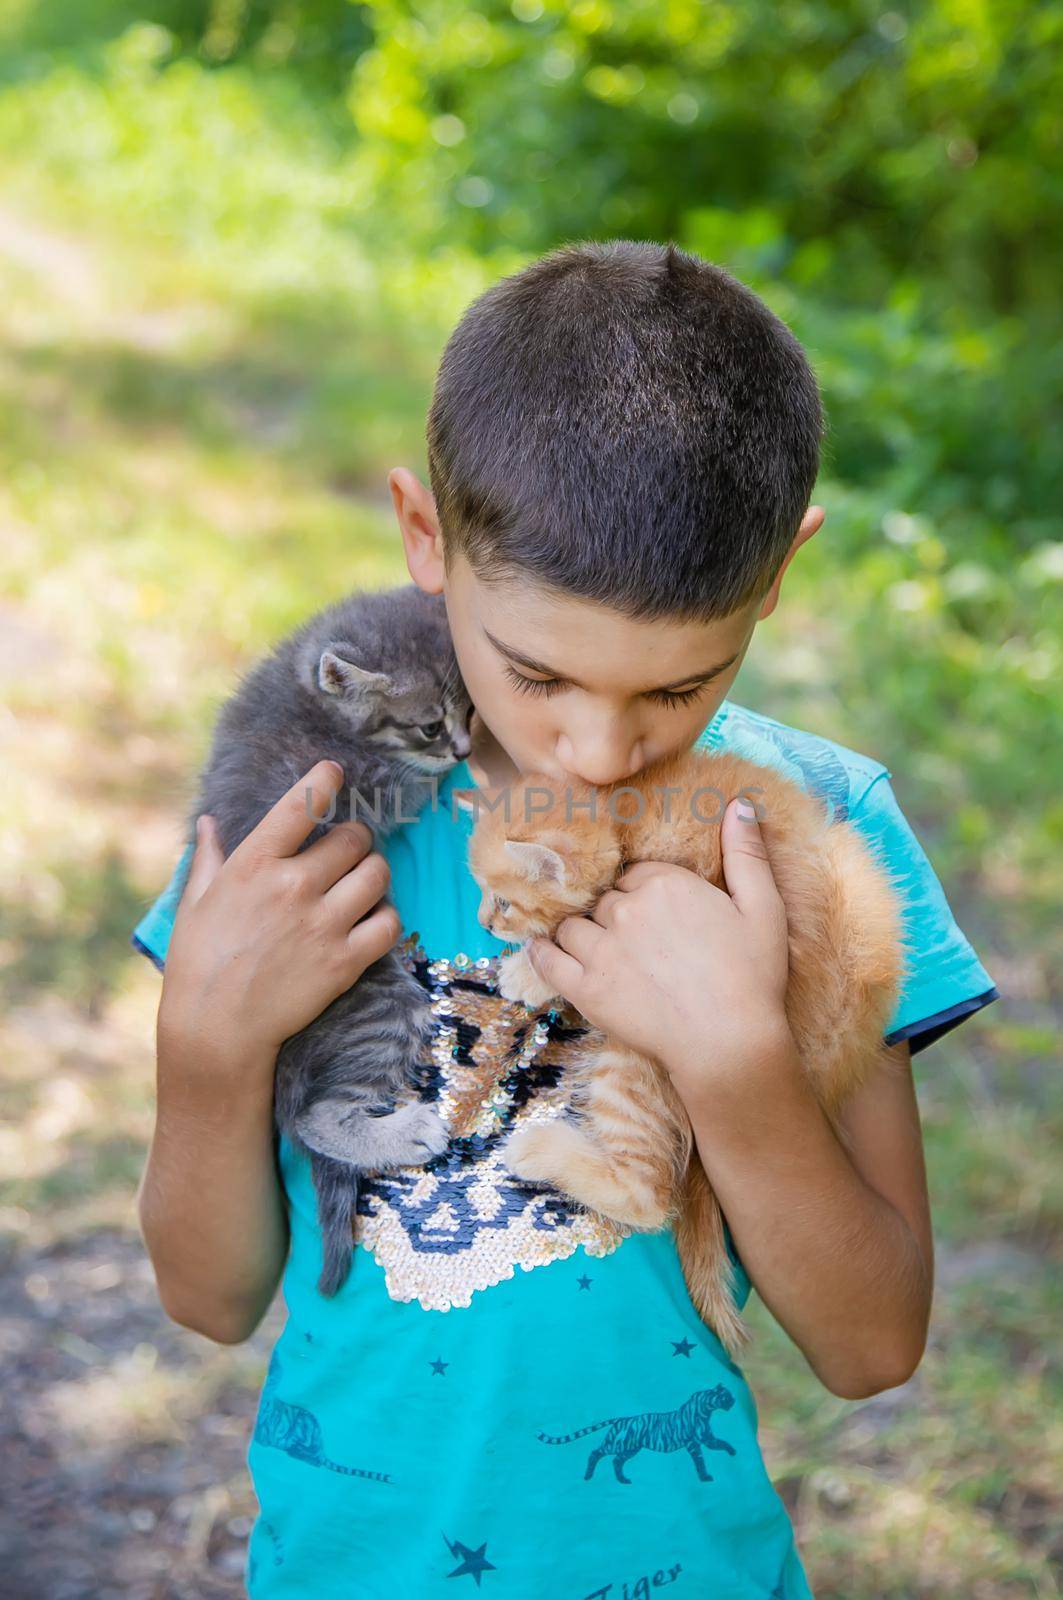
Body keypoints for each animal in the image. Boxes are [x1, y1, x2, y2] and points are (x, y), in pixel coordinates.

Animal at [192, 588, 473, 1299]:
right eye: (429, 727)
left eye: (471, 711)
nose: (462, 752)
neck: (304, 695)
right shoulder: (363, 780)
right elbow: (414, 785)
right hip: (379, 999)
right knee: (314, 1119)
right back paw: (401, 1133)